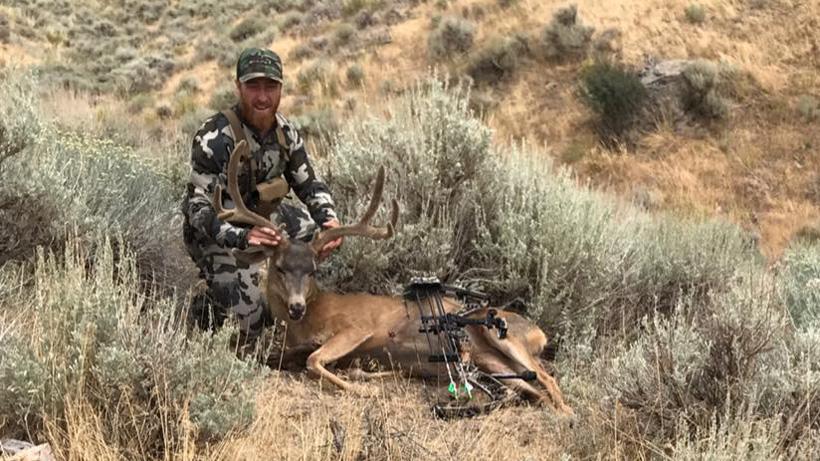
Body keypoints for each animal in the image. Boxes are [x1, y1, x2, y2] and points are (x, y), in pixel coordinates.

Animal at [213, 140, 573, 416]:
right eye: (279, 268)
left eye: (313, 270)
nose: (297, 306)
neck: (310, 319)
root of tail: (540, 332)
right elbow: (297, 359)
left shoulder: (357, 327)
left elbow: (315, 360)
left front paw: (363, 390)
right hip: (492, 362)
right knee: (531, 388)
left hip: (505, 335)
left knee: (547, 379)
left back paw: (567, 413)